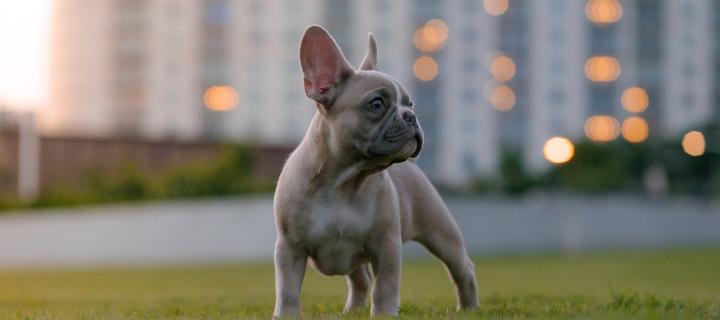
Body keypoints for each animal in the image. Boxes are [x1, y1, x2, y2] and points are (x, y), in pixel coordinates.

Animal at [270, 25, 478, 318]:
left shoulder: (386, 245)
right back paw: (352, 310)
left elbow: (385, 286)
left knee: (462, 268)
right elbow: (287, 288)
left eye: (410, 104)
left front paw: (384, 313)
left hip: (441, 233)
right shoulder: (290, 247)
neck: (344, 181)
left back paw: (469, 307)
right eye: (376, 104)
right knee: (361, 280)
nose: (410, 116)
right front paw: (285, 314)